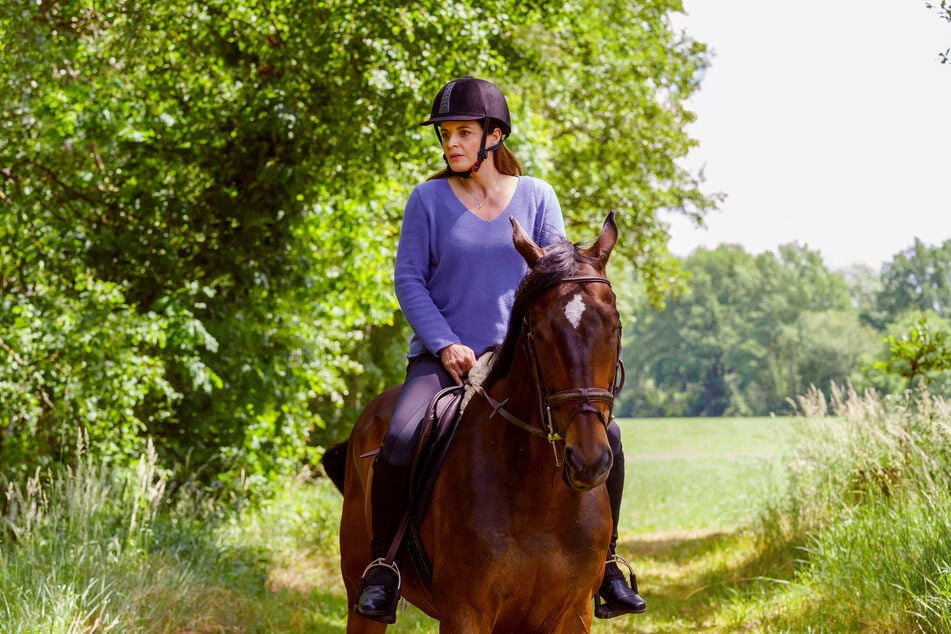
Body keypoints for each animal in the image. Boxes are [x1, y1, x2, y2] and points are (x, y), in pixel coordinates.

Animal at [326, 214, 624, 632]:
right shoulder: (466, 613)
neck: (541, 499)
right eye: (540, 331)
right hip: (359, 592)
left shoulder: (574, 613)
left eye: (613, 326)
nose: (589, 461)